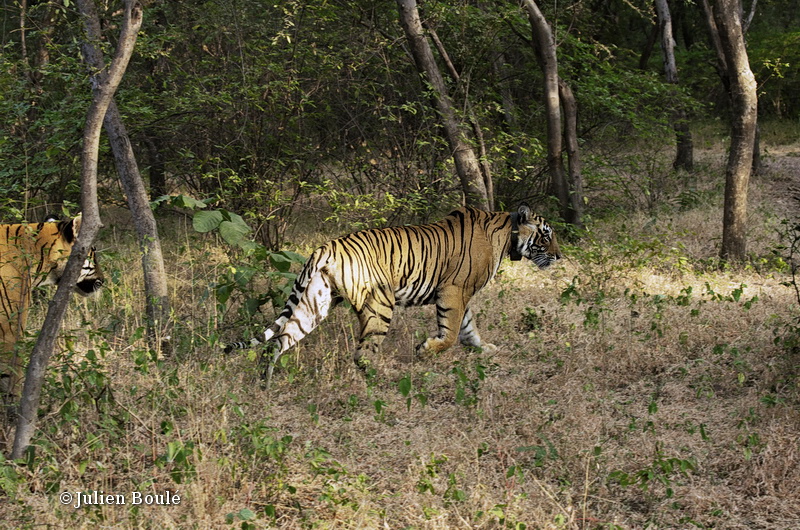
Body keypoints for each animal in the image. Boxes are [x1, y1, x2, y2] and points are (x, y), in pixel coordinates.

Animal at [225, 204, 564, 386]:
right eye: (546, 234)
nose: (560, 256)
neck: (507, 236)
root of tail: (325, 247)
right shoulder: (454, 290)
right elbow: (451, 332)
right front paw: (425, 350)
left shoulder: (462, 294)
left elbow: (468, 329)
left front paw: (485, 349)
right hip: (379, 303)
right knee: (363, 353)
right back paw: (385, 377)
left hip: (314, 305)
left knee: (278, 343)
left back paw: (265, 384)